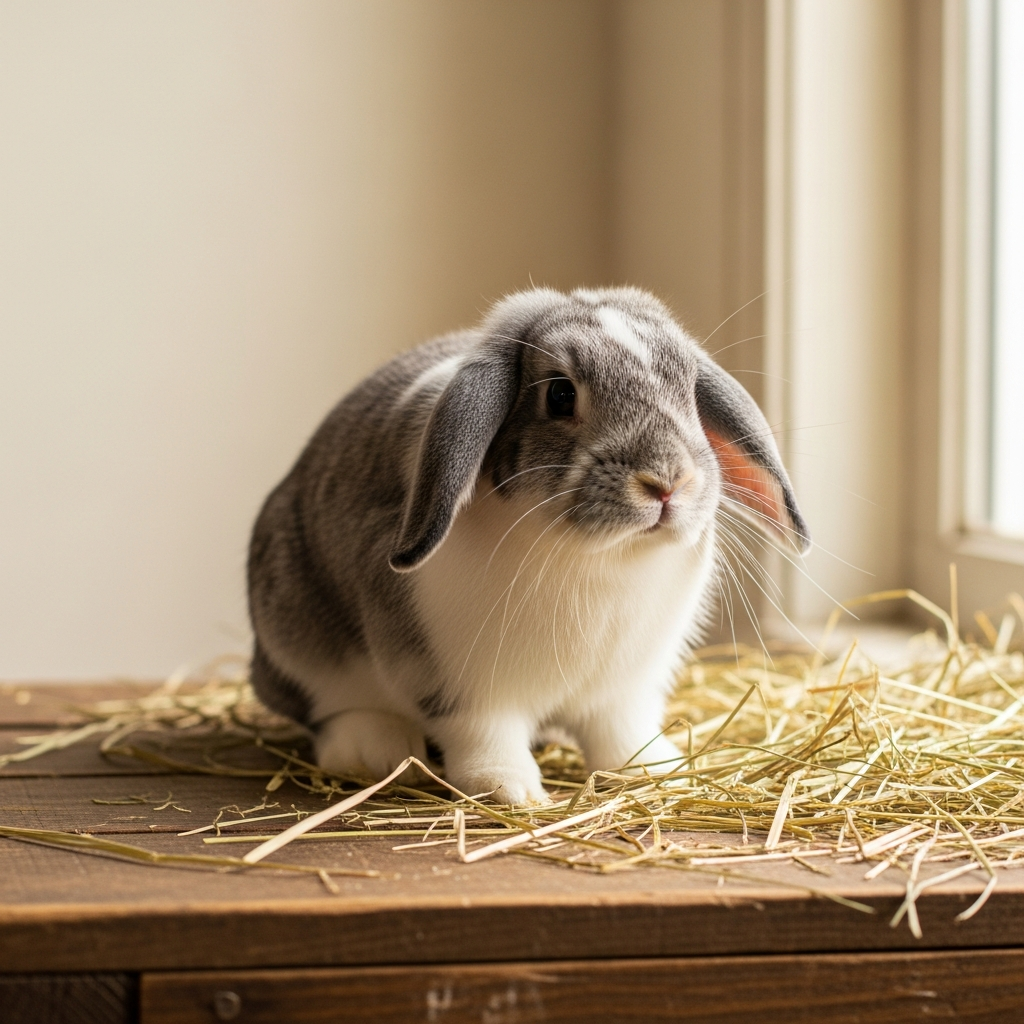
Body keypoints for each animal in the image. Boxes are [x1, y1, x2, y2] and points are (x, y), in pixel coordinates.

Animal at [247, 286, 809, 804]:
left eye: (689, 390)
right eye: (560, 395)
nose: (666, 482)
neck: (599, 556)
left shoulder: (624, 689)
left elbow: (621, 734)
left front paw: (655, 771)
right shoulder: (460, 686)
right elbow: (482, 735)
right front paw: (509, 790)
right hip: (296, 632)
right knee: (331, 709)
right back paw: (376, 752)